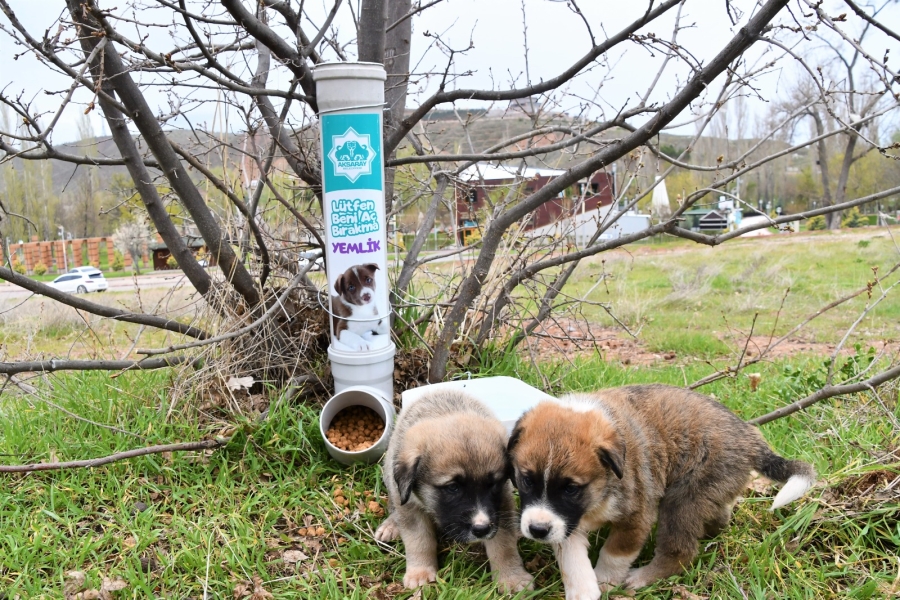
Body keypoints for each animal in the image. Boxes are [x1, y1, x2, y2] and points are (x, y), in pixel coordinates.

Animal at [374, 390, 536, 592]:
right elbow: (418, 541)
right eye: (453, 487)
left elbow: (504, 545)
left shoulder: (501, 506)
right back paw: (391, 526)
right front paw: (420, 573)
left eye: (493, 484)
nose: (481, 529)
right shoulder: (410, 506)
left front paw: (511, 578)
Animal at [506, 384, 816, 600]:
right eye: (526, 480)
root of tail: (750, 436)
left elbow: (613, 554)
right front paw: (584, 590)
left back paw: (644, 576)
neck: (600, 490)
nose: (537, 530)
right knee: (719, 513)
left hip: (681, 502)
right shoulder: (567, 524)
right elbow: (573, 563)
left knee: (681, 550)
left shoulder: (636, 518)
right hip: (709, 492)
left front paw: (606, 582)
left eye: (571, 488)